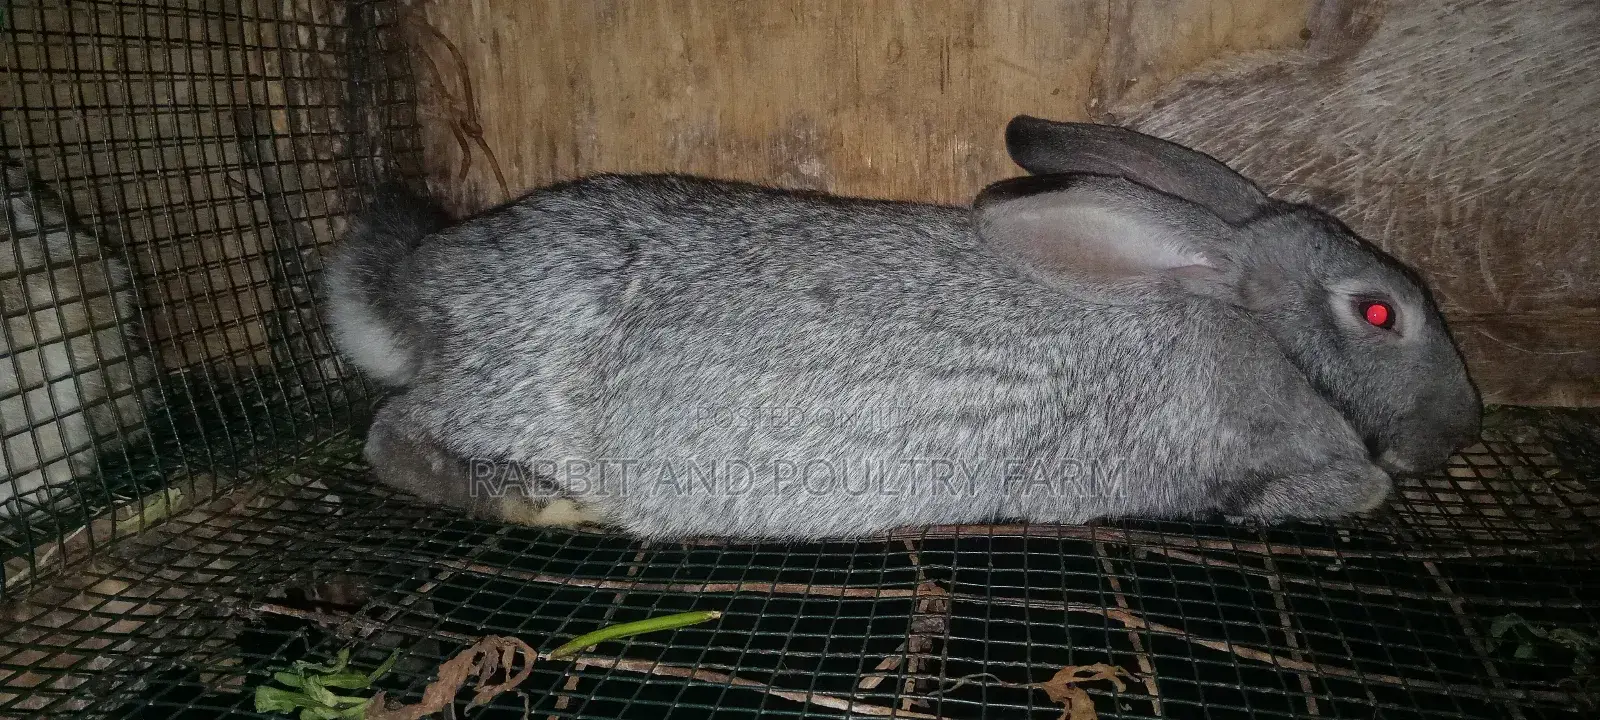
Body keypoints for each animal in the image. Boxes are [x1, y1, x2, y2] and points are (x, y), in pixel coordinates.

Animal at [325, 116, 1481, 540]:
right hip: (517, 384)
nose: (1459, 429)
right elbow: (1315, 488)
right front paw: (1352, 489)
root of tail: (425, 282)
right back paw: (545, 502)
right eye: (1379, 311)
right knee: (392, 437)